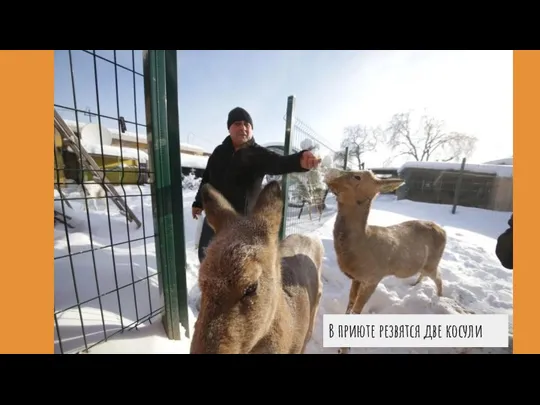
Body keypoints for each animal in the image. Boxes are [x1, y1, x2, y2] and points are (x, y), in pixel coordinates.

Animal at [324, 169, 448, 352]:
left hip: (433, 261)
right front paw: (340, 347)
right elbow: (350, 304)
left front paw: (345, 350)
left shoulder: (374, 276)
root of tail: (443, 231)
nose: (329, 180)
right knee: (425, 274)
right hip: (425, 263)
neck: (363, 244)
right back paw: (414, 285)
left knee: (439, 278)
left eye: (357, 176)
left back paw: (440, 299)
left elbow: (356, 310)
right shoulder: (357, 278)